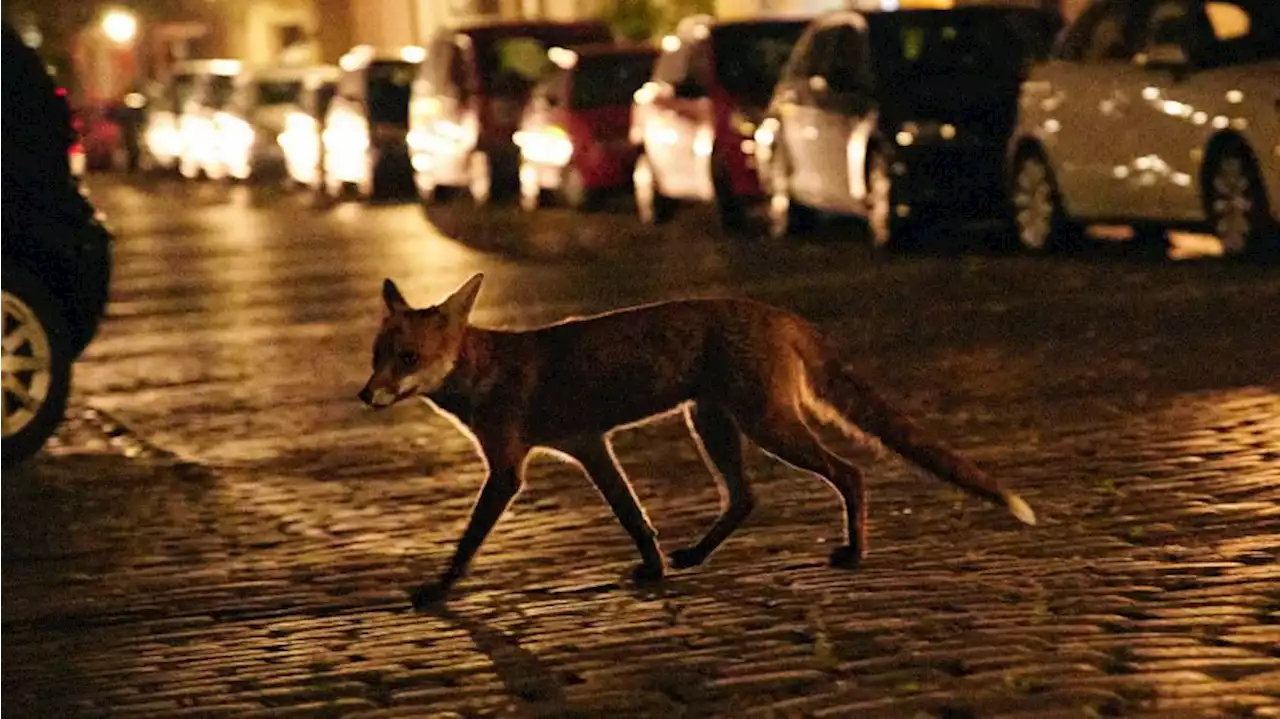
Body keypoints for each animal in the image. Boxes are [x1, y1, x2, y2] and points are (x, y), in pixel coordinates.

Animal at [355, 272, 1034, 603]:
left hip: (766, 426)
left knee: (850, 473)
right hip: (711, 423)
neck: (485, 371)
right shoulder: (589, 445)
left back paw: (855, 552)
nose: (365, 397)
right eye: (376, 357)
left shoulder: (507, 469)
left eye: (407, 358)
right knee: (746, 498)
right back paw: (698, 556)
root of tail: (780, 314)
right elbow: (633, 517)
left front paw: (439, 589)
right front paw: (655, 569)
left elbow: (469, 540)